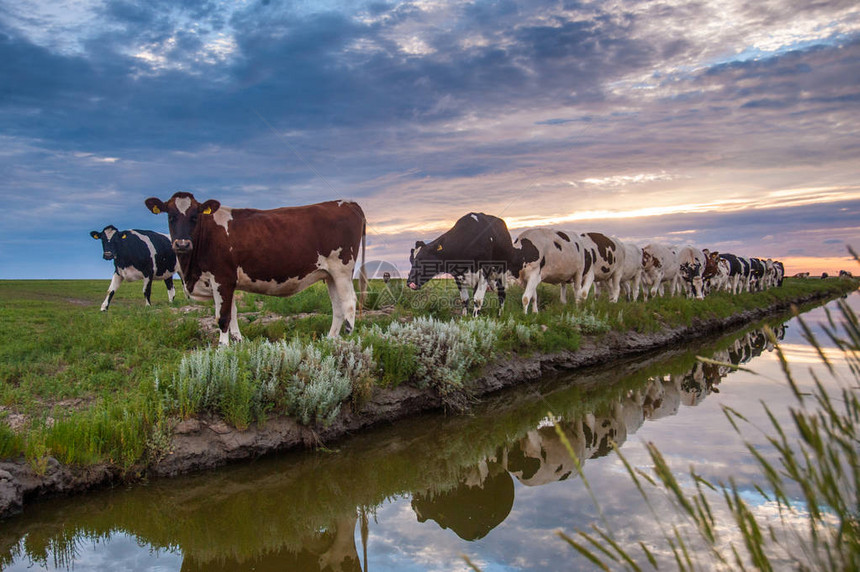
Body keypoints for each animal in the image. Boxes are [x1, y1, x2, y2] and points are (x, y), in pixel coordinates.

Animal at [145, 192, 366, 344]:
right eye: (170, 216)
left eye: (194, 216)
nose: (182, 244)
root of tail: (348, 202)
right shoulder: (225, 282)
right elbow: (233, 312)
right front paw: (238, 341)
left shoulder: (222, 278)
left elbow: (223, 316)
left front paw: (222, 347)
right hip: (329, 275)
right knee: (337, 306)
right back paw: (330, 339)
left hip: (342, 270)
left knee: (349, 302)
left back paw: (347, 337)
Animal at [404, 211, 536, 316]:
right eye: (411, 260)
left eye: (422, 259)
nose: (410, 283)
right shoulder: (458, 276)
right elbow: (465, 299)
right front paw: (464, 317)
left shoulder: (484, 272)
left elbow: (478, 300)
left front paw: (474, 319)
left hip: (501, 272)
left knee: (502, 294)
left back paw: (500, 314)